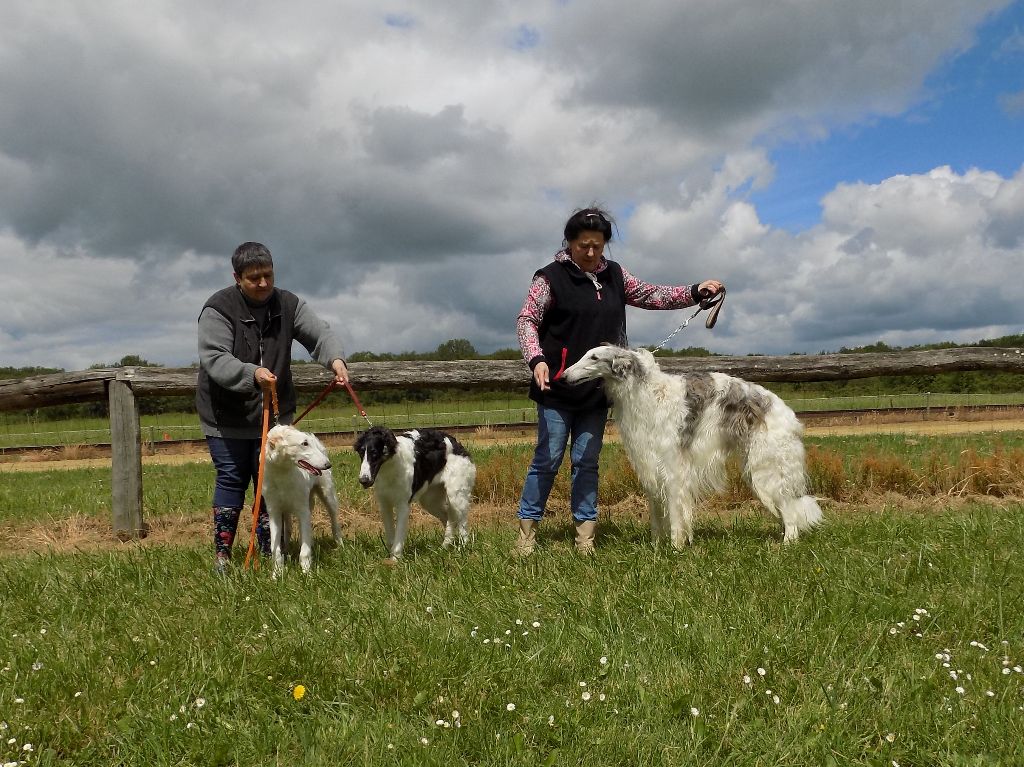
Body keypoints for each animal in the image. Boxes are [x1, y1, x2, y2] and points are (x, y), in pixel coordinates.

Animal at [262, 421, 342, 573]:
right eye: (304, 443)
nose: (328, 464)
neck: (282, 475)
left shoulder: (303, 511)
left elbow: (304, 551)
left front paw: (307, 573)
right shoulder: (274, 512)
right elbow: (275, 549)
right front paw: (277, 574)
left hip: (327, 496)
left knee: (334, 522)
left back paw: (341, 545)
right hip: (288, 510)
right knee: (288, 531)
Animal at [354, 423, 477, 557]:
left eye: (374, 453)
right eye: (361, 453)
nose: (363, 480)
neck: (390, 466)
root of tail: (457, 445)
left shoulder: (403, 505)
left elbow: (398, 538)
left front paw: (395, 559)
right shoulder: (384, 504)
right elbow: (391, 539)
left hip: (456, 496)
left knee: (463, 526)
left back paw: (462, 549)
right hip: (430, 501)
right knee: (450, 520)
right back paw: (444, 547)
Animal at [561, 344, 823, 548]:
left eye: (594, 357)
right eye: (586, 354)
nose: (563, 377)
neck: (646, 392)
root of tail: (785, 411)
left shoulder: (673, 468)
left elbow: (676, 514)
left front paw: (676, 547)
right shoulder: (650, 466)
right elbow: (656, 515)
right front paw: (655, 547)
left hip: (766, 469)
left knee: (789, 510)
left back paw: (787, 543)